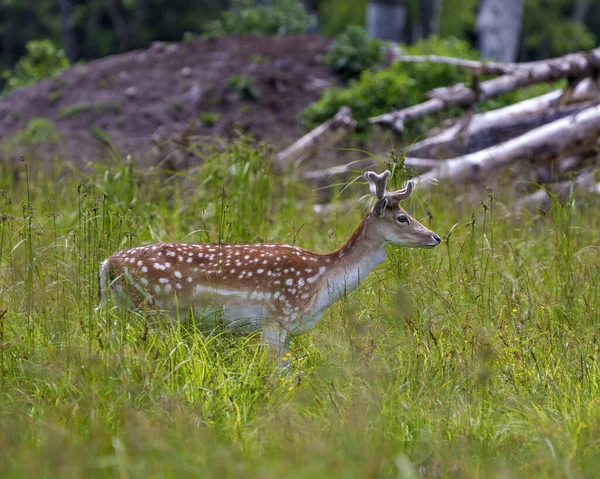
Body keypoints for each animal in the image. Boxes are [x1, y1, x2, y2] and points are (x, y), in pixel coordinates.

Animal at [96, 172, 438, 360]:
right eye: (402, 217)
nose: (435, 237)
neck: (320, 282)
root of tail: (107, 264)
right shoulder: (276, 317)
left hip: (123, 307)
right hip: (154, 309)